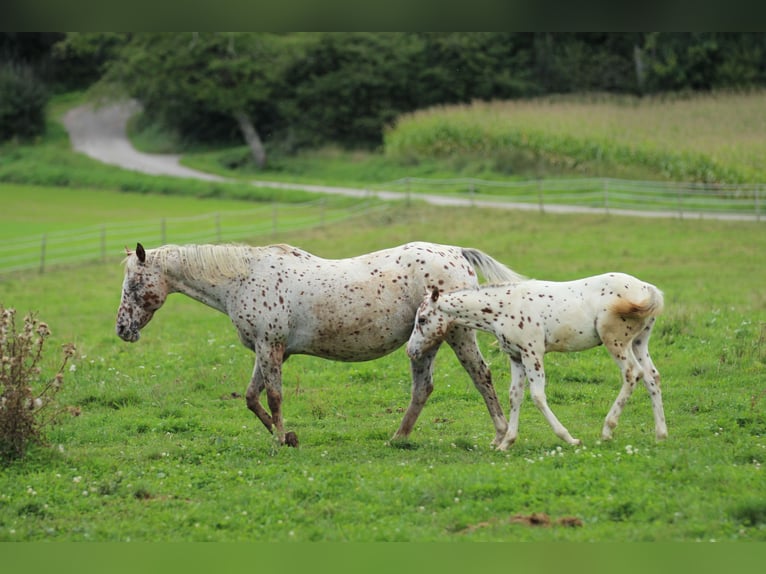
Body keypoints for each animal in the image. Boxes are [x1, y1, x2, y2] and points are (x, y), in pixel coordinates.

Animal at [116, 241, 524, 447]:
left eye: (134, 284)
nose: (122, 329)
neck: (242, 278)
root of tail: (455, 253)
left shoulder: (270, 347)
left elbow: (273, 397)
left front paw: (282, 439)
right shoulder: (266, 350)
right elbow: (251, 398)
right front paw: (286, 435)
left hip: (458, 334)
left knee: (481, 376)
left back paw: (500, 435)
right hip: (423, 342)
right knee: (423, 388)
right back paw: (398, 438)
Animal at [406, 273, 667, 449]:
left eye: (423, 319)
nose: (411, 350)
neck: (503, 307)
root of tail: (647, 288)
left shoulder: (533, 354)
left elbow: (538, 396)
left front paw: (569, 438)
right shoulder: (516, 357)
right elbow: (515, 396)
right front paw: (507, 443)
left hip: (616, 341)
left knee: (633, 373)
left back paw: (607, 429)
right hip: (639, 342)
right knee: (652, 377)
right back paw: (661, 434)